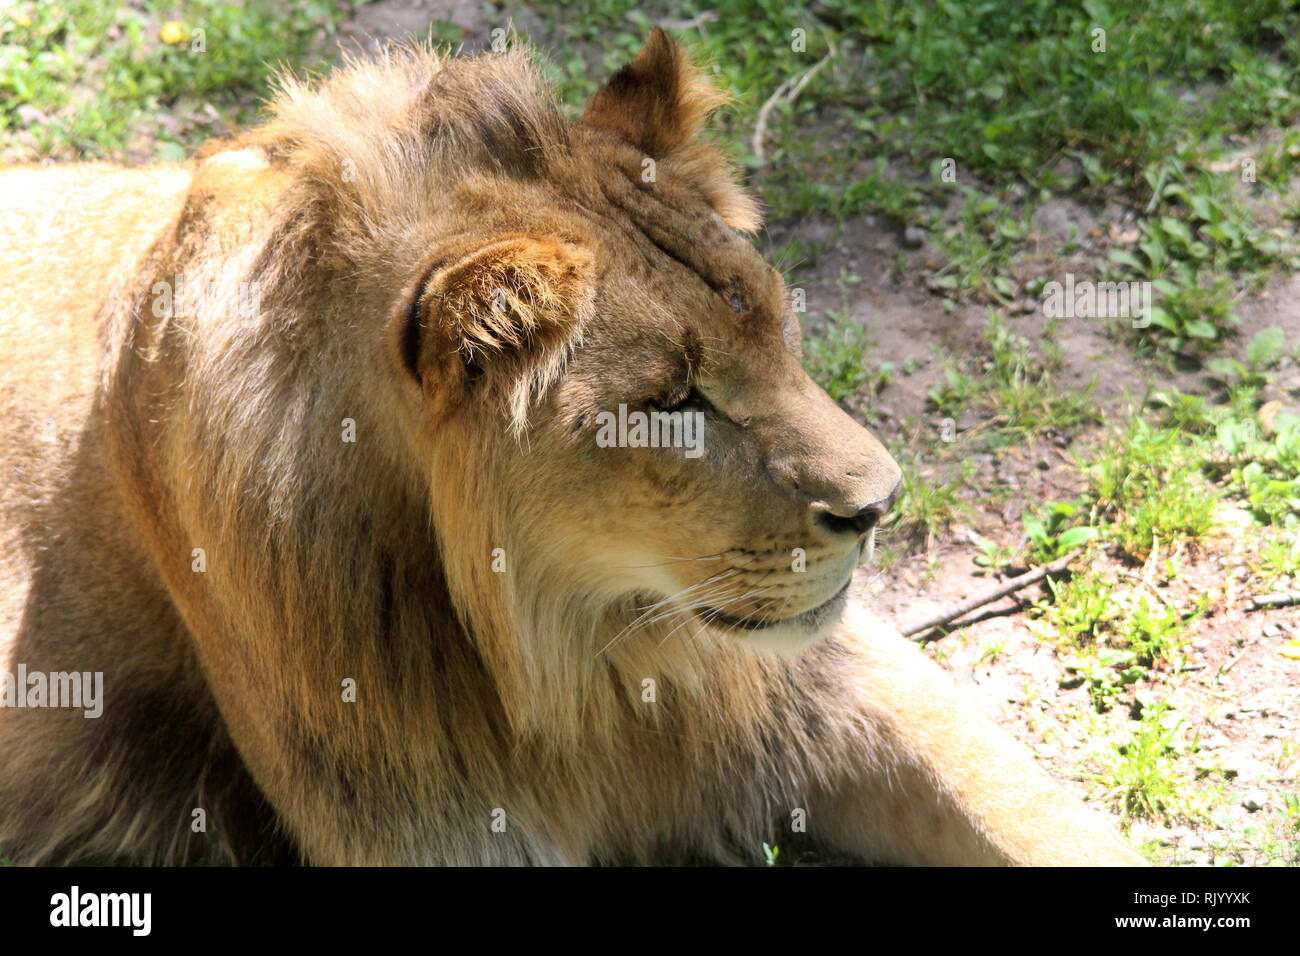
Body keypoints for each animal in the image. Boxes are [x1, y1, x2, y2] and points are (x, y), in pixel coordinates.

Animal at [0, 31, 1142, 865]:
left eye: (781, 328)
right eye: (672, 403)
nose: (880, 505)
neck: (577, 646)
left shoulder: (824, 679)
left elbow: (1041, 819)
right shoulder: (436, 826)